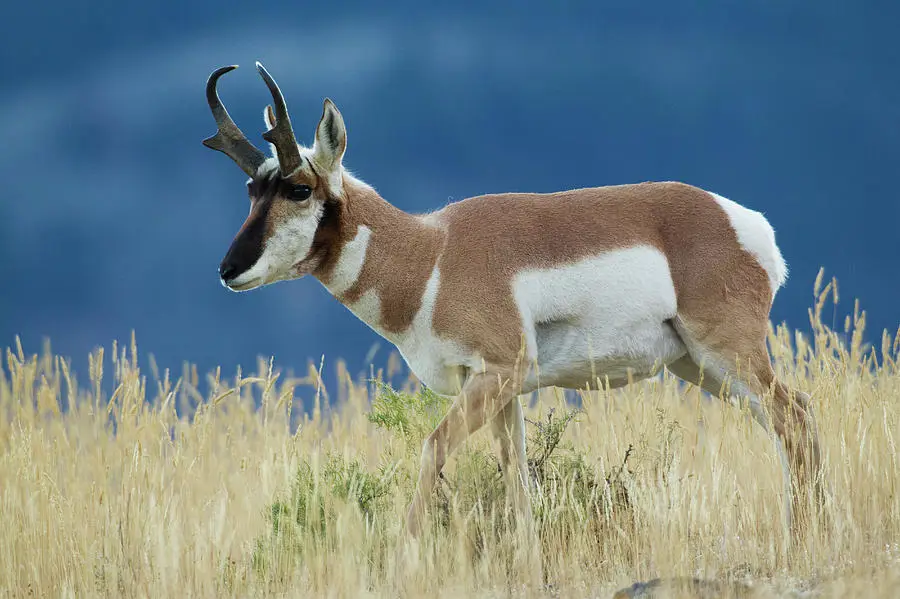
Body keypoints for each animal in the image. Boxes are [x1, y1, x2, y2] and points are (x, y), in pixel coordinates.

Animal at [204, 63, 824, 536]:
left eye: (298, 188)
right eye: (252, 189)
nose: (228, 270)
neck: (432, 253)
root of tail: (742, 222)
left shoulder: (496, 374)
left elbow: (432, 448)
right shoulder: (501, 391)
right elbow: (517, 479)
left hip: (727, 352)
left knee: (792, 414)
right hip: (699, 366)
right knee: (788, 418)